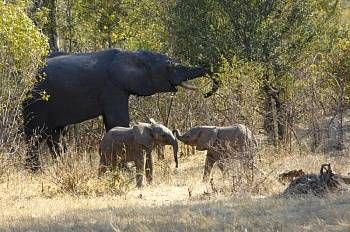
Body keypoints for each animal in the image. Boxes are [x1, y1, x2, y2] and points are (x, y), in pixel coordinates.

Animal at [22, 49, 216, 170]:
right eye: (170, 67)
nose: (207, 93)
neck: (133, 53)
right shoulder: (112, 87)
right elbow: (117, 120)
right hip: (36, 102)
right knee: (35, 135)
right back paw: (35, 172)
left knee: (56, 135)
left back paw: (61, 166)